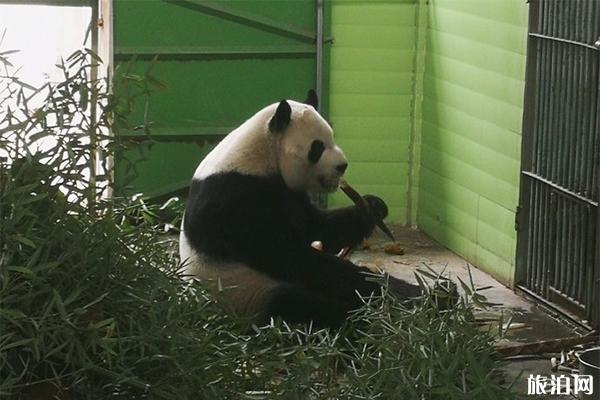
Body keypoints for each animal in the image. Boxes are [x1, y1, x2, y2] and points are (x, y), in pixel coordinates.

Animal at [180, 91, 420, 328]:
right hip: (248, 295)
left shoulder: (290, 194)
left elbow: (319, 228)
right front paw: (382, 288)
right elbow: (284, 254)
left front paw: (373, 207)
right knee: (295, 303)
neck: (260, 155)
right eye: (318, 147)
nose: (342, 166)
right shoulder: (234, 199)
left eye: (332, 137)